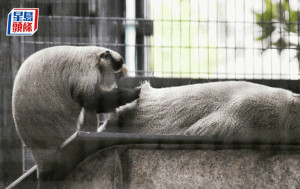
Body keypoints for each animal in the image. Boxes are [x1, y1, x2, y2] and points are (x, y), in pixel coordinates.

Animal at [10, 46, 139, 188]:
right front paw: (133, 93)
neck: (95, 56)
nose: (114, 84)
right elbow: (92, 98)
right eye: (116, 76)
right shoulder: (87, 67)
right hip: (64, 134)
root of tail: (39, 154)